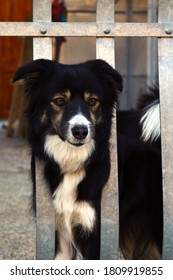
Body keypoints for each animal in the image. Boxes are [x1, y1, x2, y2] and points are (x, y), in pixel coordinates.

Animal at [12, 59, 163, 260]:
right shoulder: (60, 234)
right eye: (59, 100)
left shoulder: (93, 232)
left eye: (92, 101)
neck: (72, 161)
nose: (81, 131)